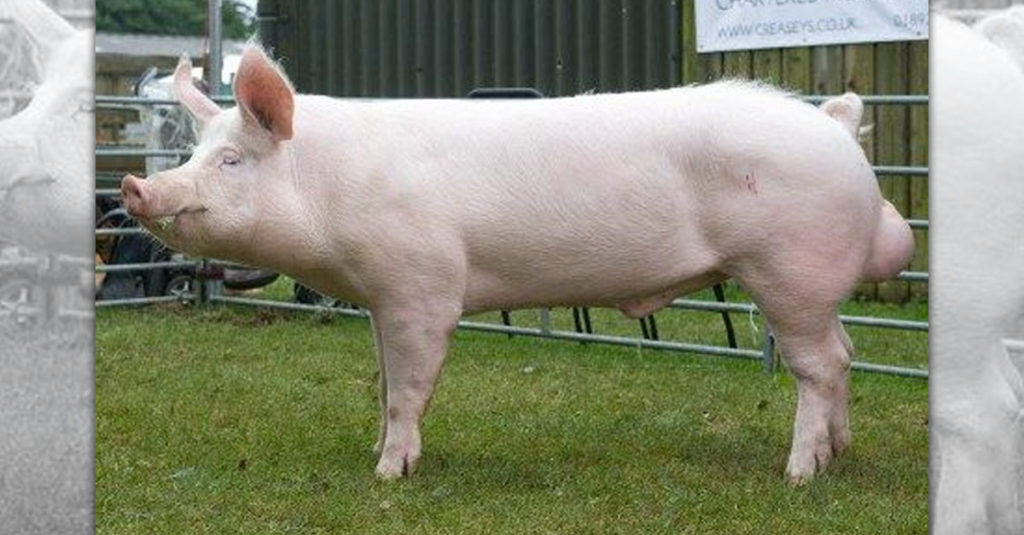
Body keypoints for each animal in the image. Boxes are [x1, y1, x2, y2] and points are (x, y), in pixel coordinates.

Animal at [121, 46, 914, 483]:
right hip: (809, 285)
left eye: (230, 160)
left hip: (789, 268)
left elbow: (408, 388)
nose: (134, 186)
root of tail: (836, 126)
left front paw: (387, 475)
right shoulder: (381, 294)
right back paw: (839, 455)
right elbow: (382, 384)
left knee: (820, 366)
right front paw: (375, 450)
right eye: (193, 151)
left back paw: (799, 476)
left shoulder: (420, 285)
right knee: (845, 353)